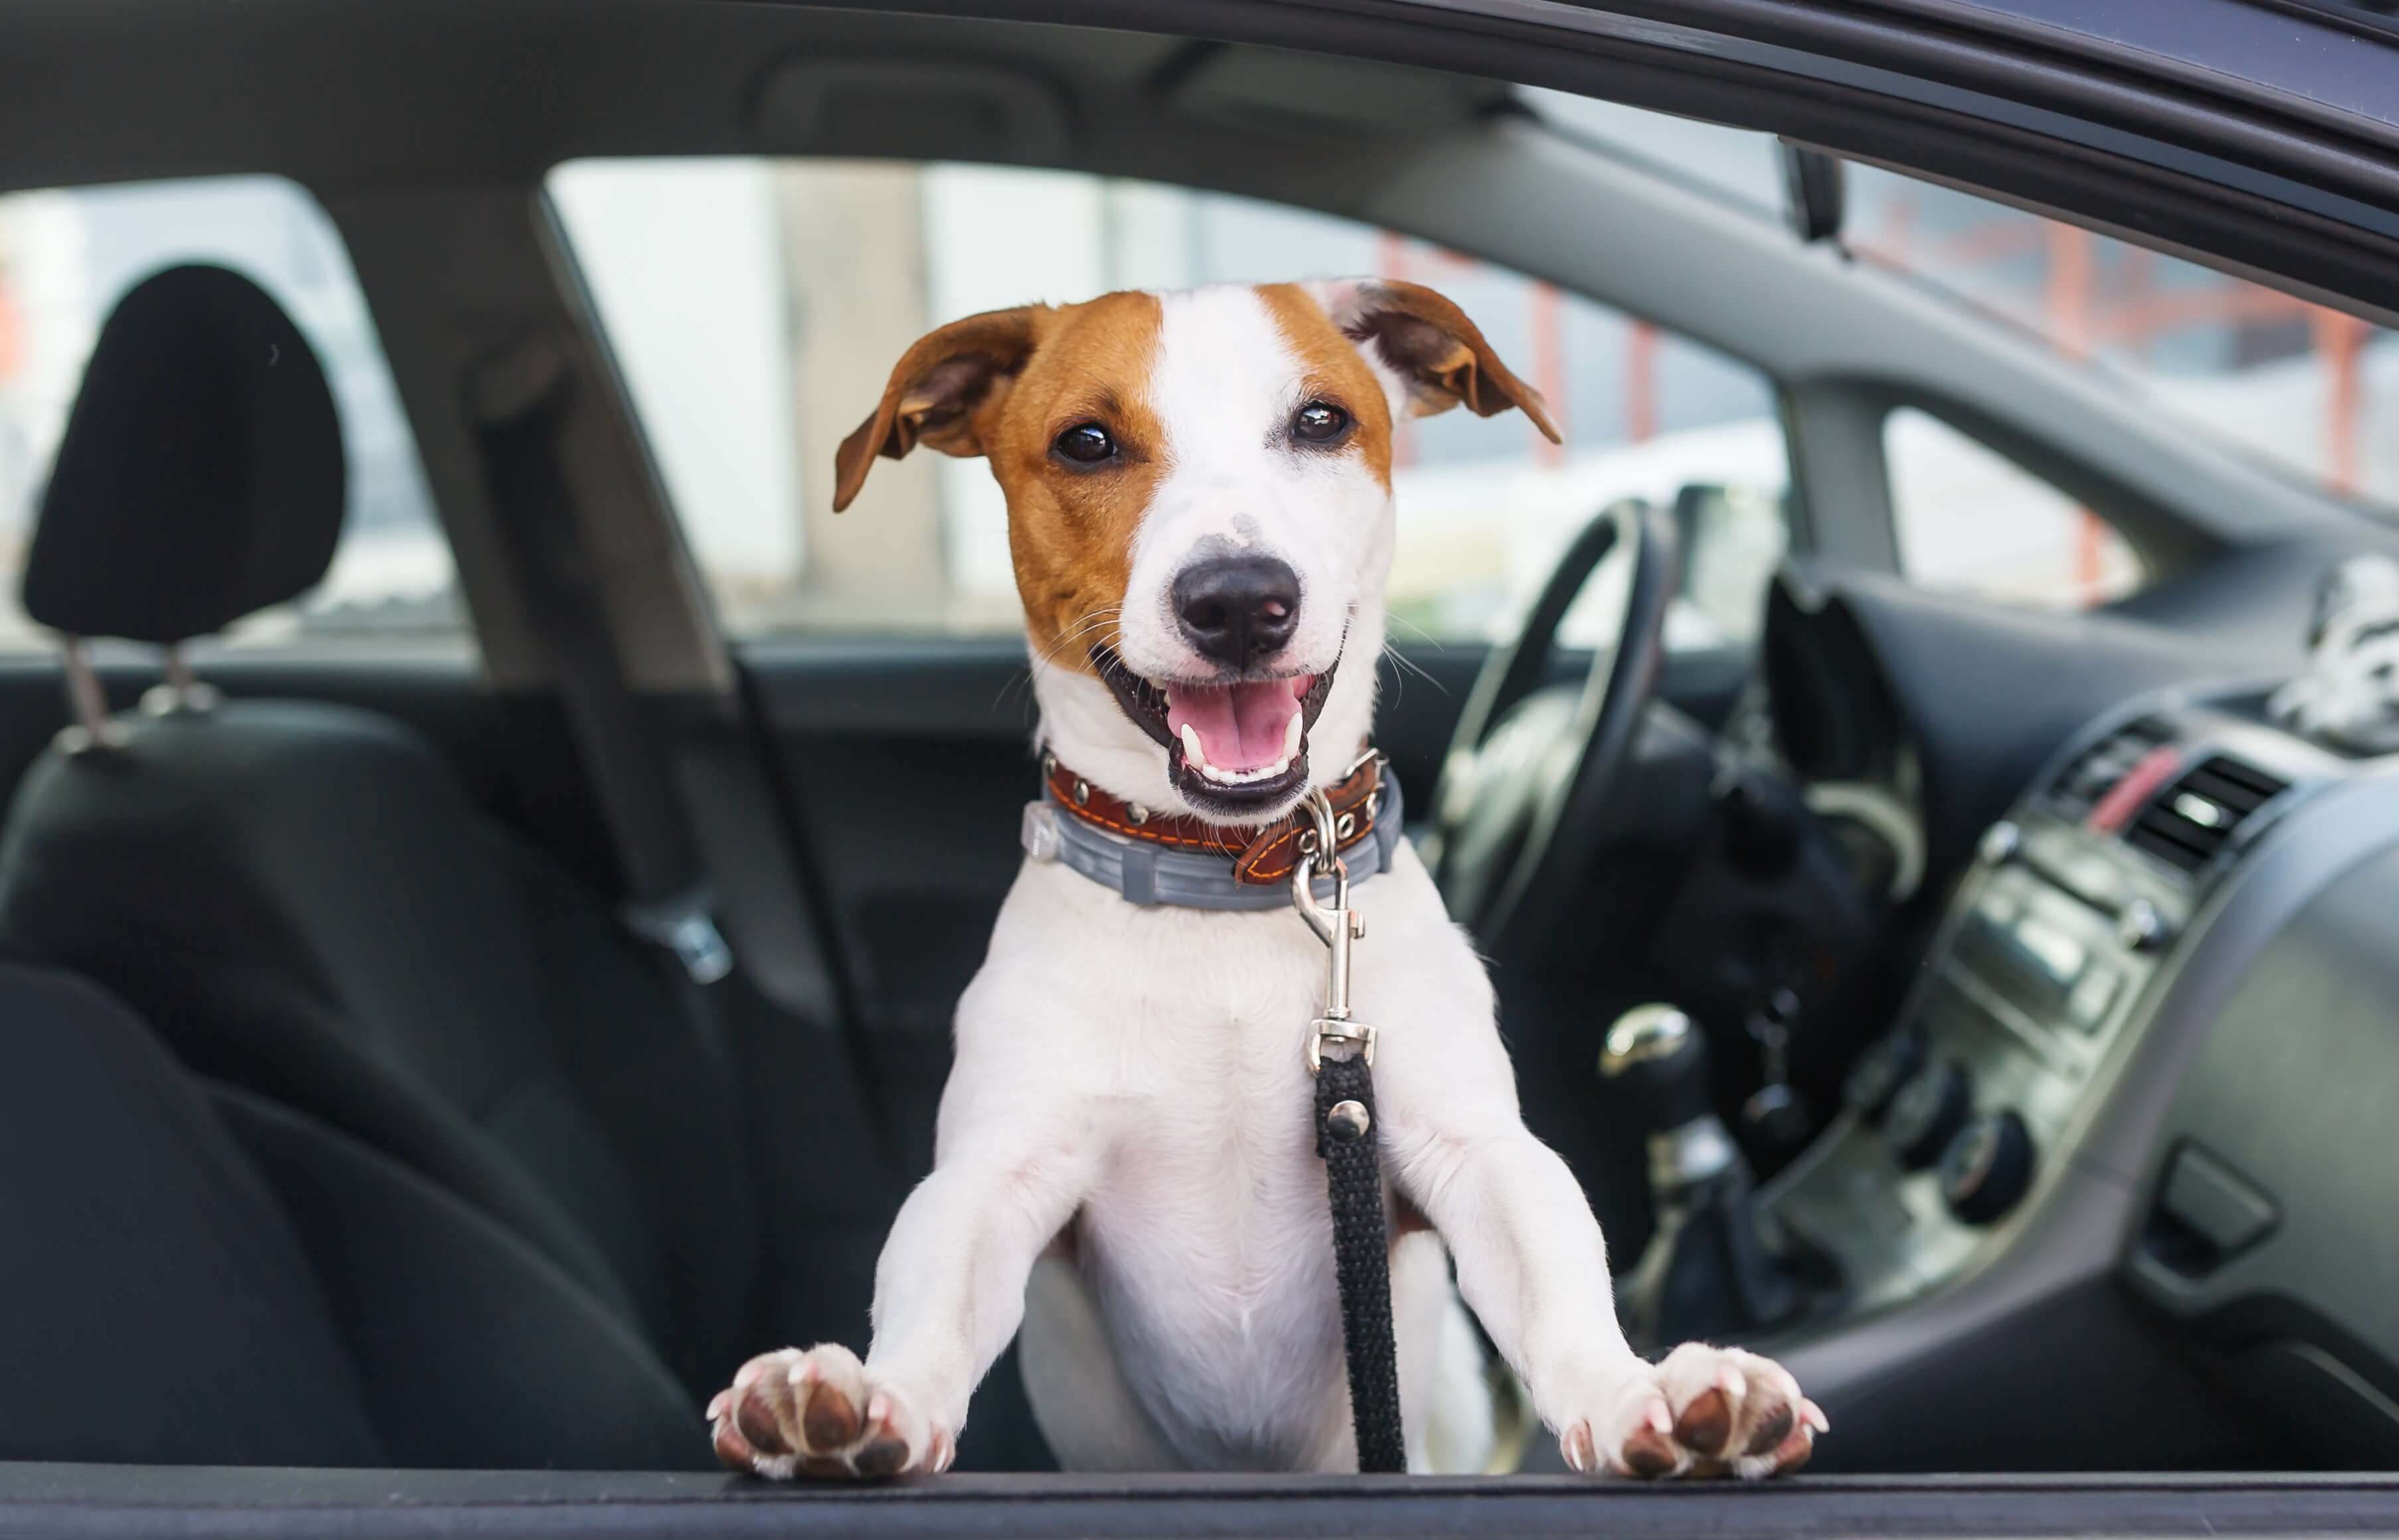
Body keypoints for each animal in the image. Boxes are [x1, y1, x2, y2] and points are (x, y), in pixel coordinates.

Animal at [700, 276, 1823, 1478]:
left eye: (1321, 421)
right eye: (1086, 442)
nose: (1239, 597)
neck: (1225, 882)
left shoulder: (1471, 1149)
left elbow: (1556, 1274)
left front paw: (1641, 1392)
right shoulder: (995, 1174)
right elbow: (934, 1296)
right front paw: (868, 1401)